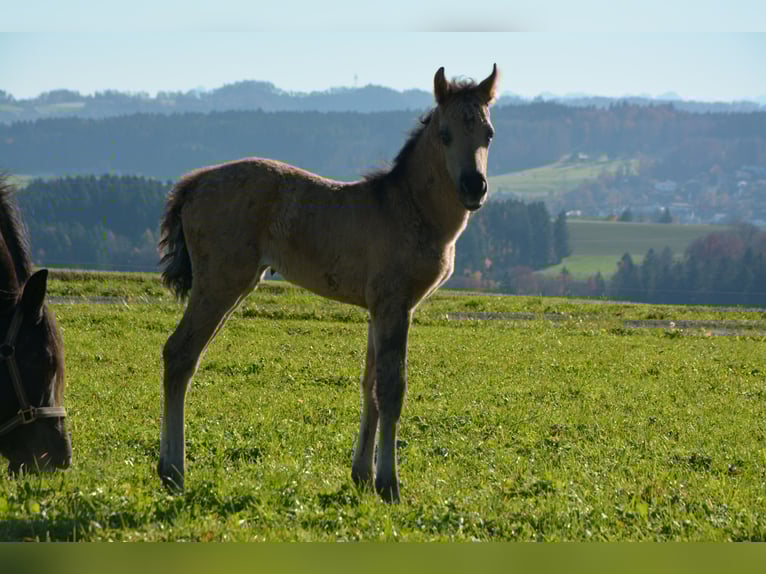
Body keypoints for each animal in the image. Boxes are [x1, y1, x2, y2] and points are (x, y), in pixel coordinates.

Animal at [158, 65, 499, 502]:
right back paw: (174, 472)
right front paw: (389, 485)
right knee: (180, 354)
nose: (474, 186)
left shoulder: (377, 309)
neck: (409, 209)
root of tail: (194, 184)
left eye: (488, 133)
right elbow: (392, 389)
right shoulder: (396, 304)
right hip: (221, 282)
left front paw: (362, 475)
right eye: (445, 134)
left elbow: (370, 385)